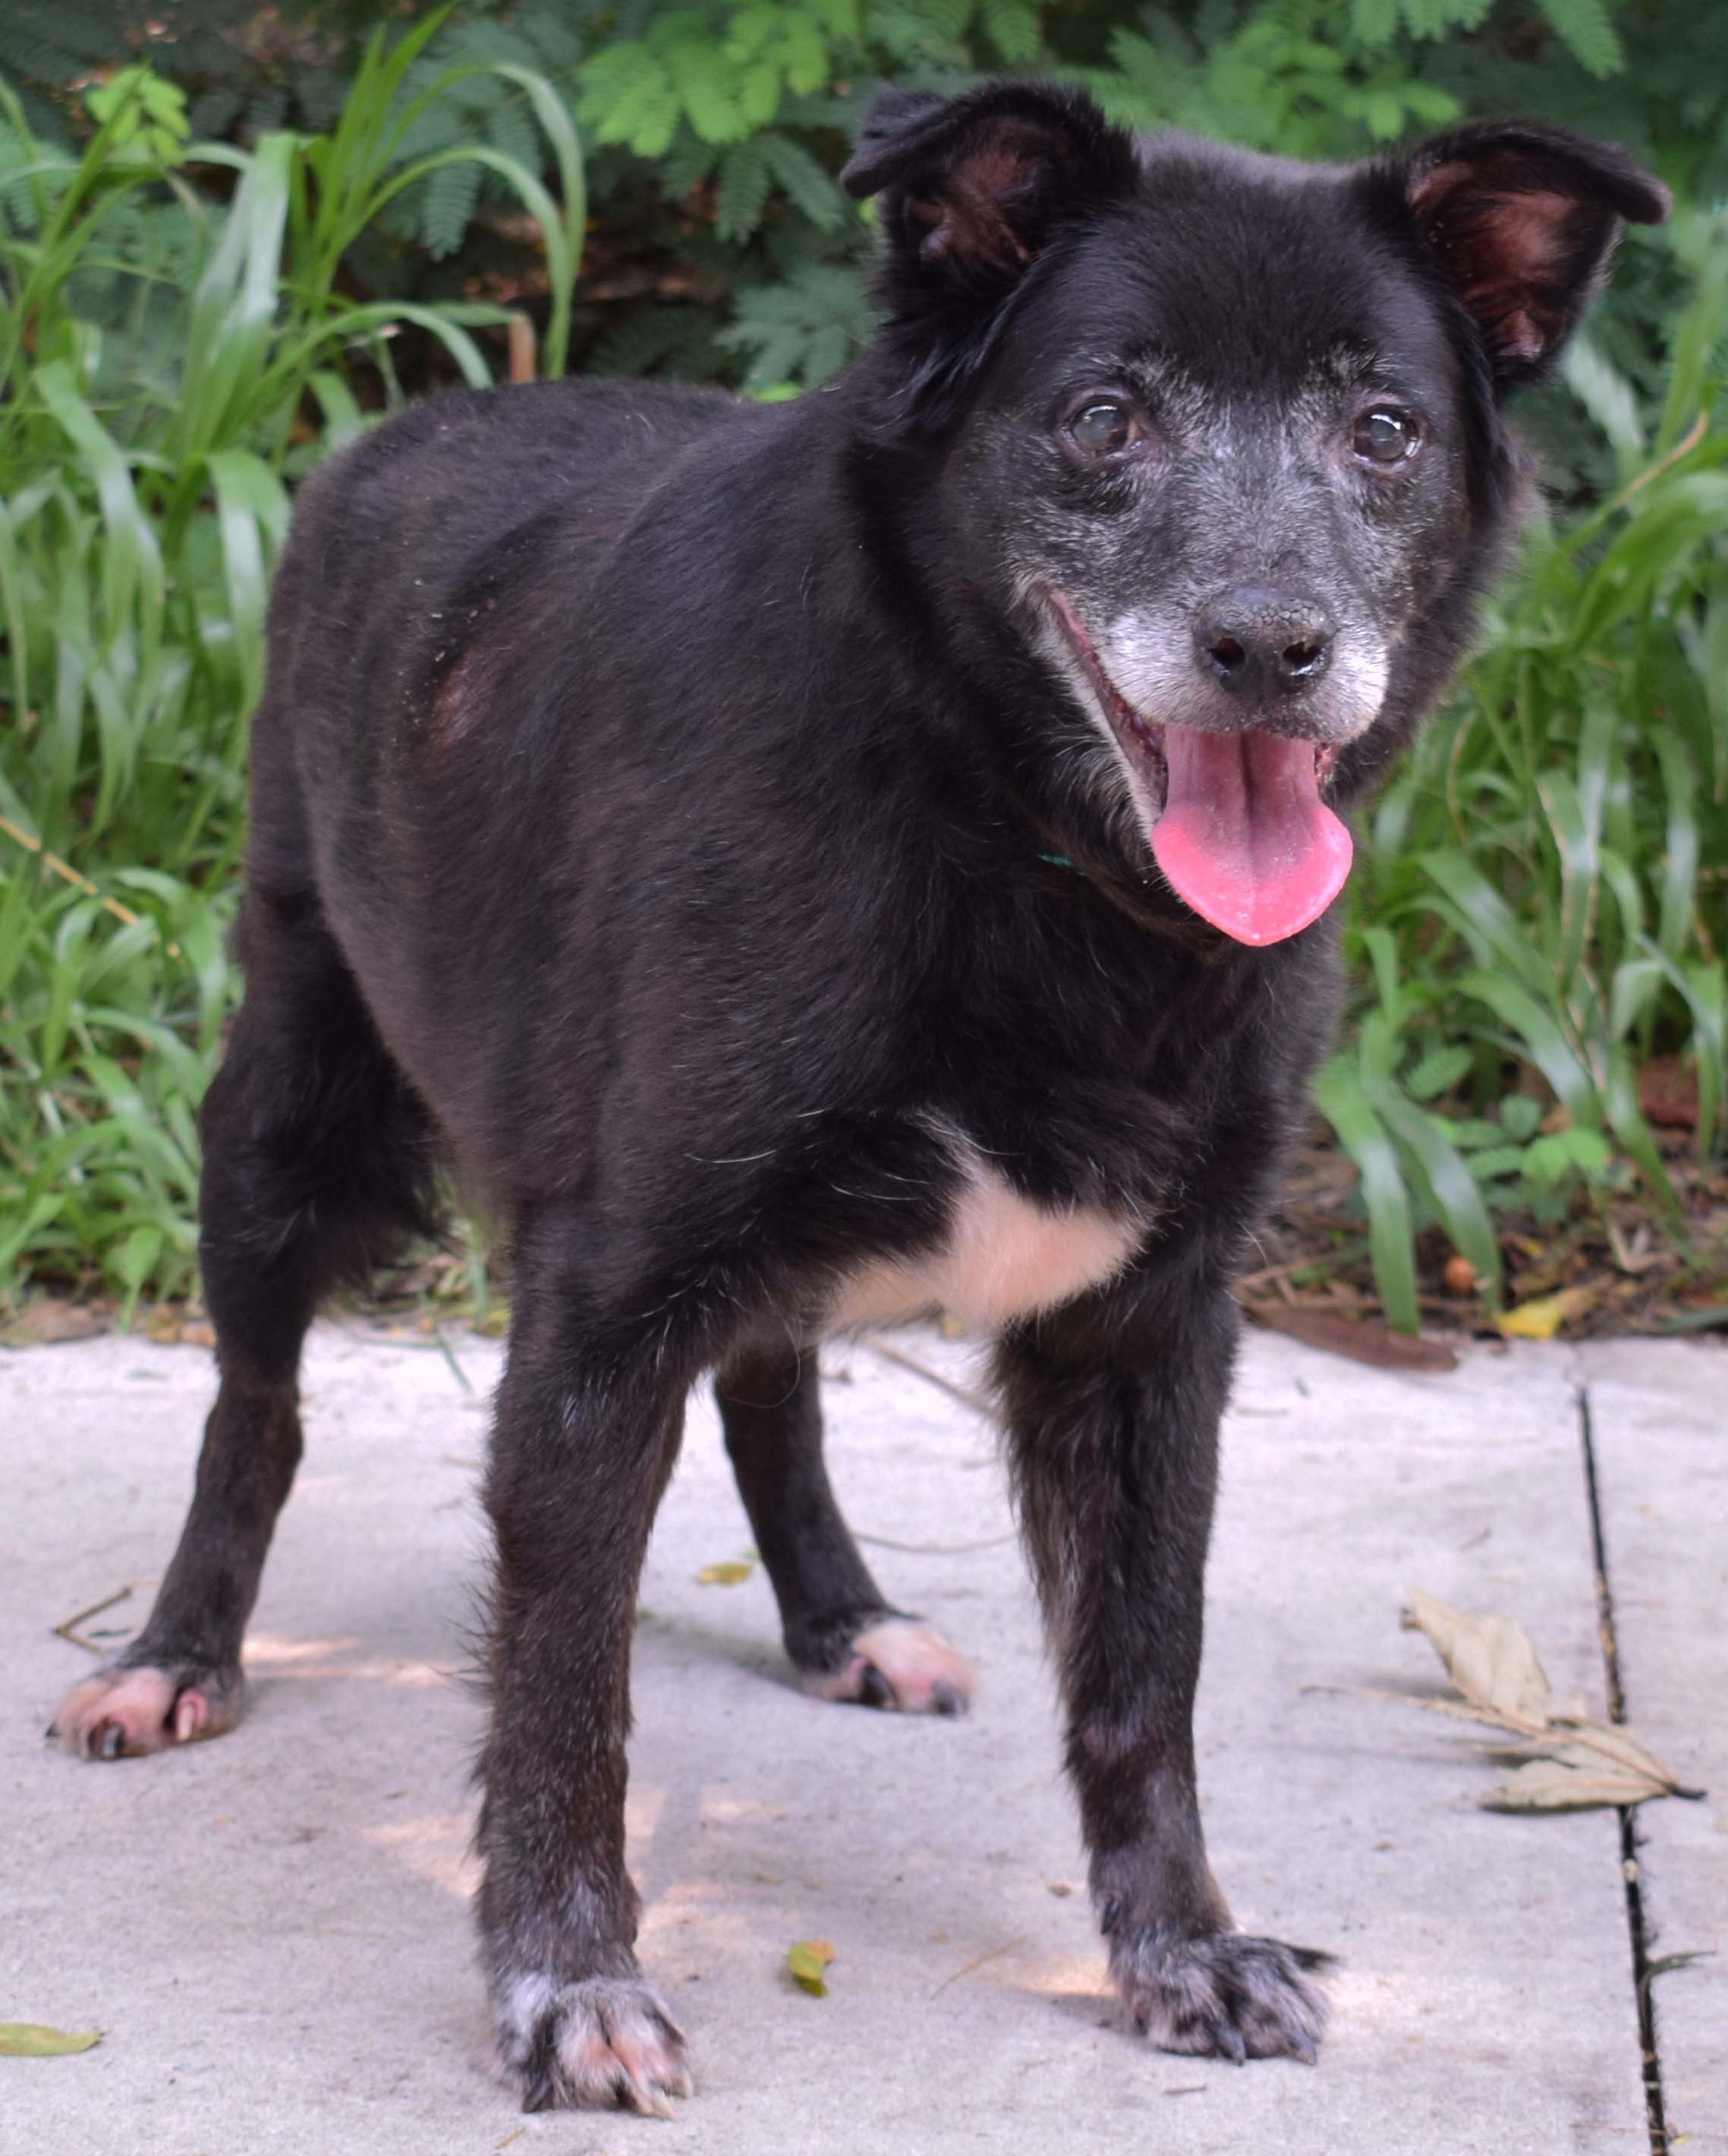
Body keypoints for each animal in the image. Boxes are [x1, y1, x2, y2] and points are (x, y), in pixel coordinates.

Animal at [60, 80, 1665, 2104]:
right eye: (1103, 415)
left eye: (1382, 429)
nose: (1270, 648)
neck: (1008, 820)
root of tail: (407, 424)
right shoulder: (599, 1310)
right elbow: (564, 1690)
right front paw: (567, 1979)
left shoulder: (1151, 1330)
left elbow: (1143, 1674)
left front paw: (1180, 1940)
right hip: (285, 1117)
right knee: (255, 1406)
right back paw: (178, 1647)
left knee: (772, 1380)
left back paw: (840, 1612)